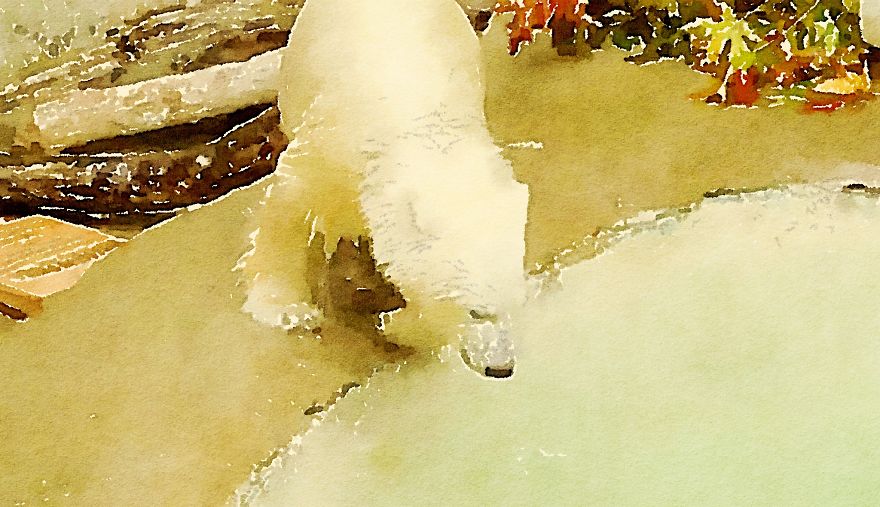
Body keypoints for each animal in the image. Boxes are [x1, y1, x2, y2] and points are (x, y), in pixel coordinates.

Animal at [238, 0, 529, 377]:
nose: (501, 368)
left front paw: (395, 323)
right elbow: (290, 205)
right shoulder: (332, 146)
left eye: (516, 303)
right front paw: (286, 309)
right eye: (476, 311)